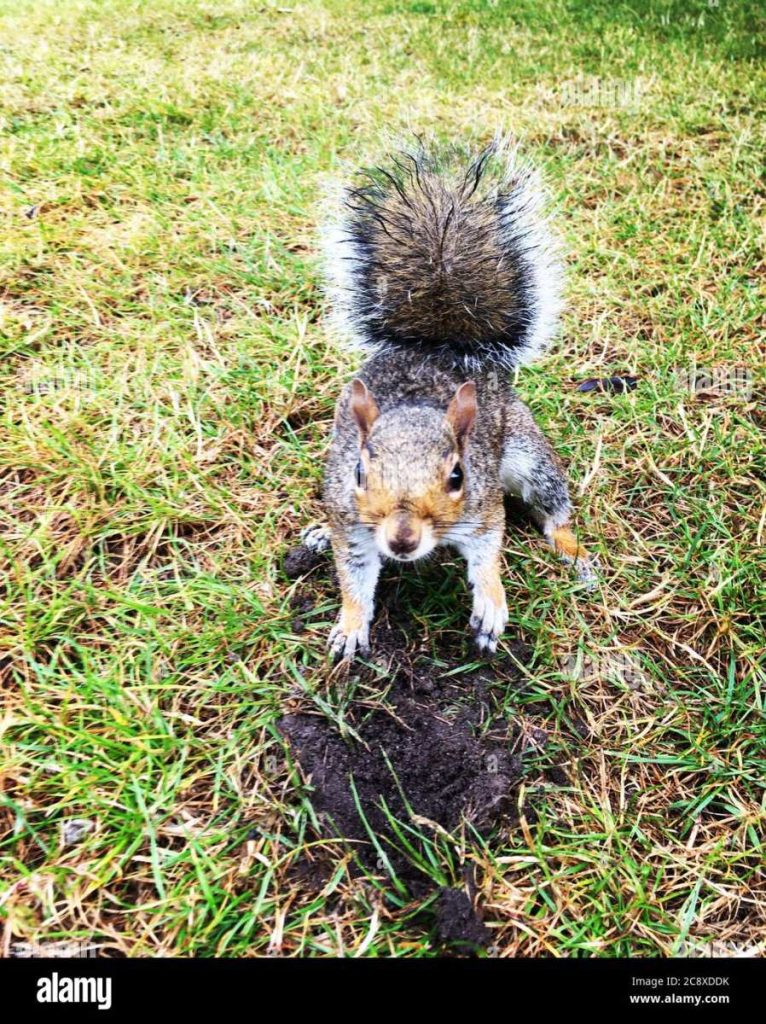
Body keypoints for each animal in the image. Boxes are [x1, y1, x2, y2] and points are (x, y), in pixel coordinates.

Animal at [303, 140, 596, 660]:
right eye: (359, 473)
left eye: (457, 476)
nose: (402, 540)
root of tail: (440, 347)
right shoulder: (351, 524)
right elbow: (354, 578)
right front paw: (351, 625)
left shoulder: (482, 507)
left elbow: (488, 553)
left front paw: (492, 605)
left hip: (527, 455)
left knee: (553, 509)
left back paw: (571, 550)